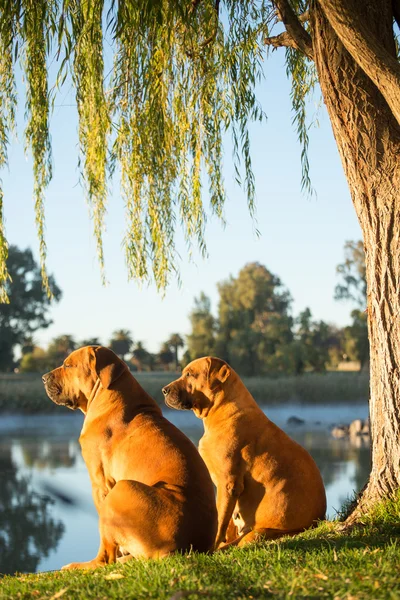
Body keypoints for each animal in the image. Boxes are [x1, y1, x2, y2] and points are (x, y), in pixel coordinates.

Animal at [42, 344, 217, 568]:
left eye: (68, 365)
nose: (44, 378)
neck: (109, 394)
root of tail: (182, 548)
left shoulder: (100, 485)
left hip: (121, 489)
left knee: (105, 558)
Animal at [162, 356, 324, 548]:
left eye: (189, 374)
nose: (164, 390)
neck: (221, 411)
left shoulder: (228, 483)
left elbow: (220, 521)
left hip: (257, 533)